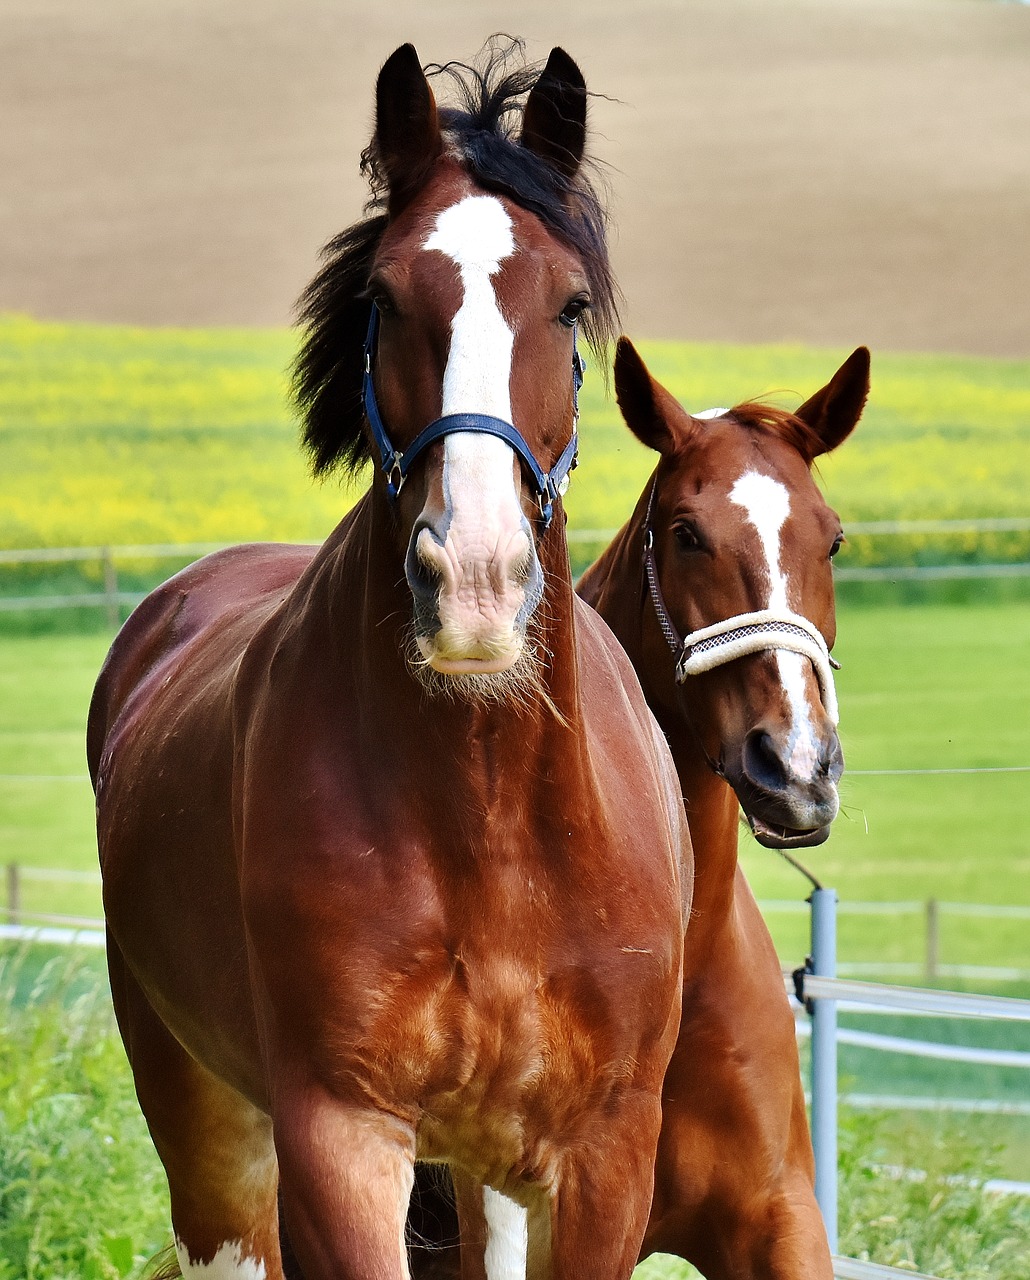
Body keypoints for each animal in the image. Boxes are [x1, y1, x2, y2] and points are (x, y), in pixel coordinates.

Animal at [87, 42, 691, 1280]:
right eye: (384, 297)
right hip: (211, 1136)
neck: (492, 822)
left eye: (567, 304)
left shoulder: (603, 1156)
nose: (474, 581)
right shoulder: (339, 1136)